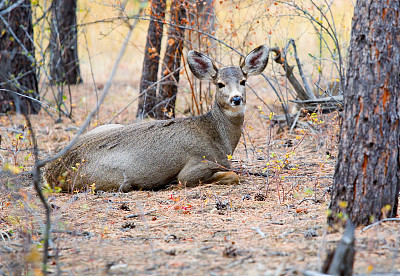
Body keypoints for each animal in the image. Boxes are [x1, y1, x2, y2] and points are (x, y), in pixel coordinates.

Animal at [45, 45, 270, 192]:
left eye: (243, 81)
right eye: (220, 84)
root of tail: (52, 173)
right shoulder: (195, 166)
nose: (236, 98)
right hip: (116, 179)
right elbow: (232, 175)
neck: (219, 136)